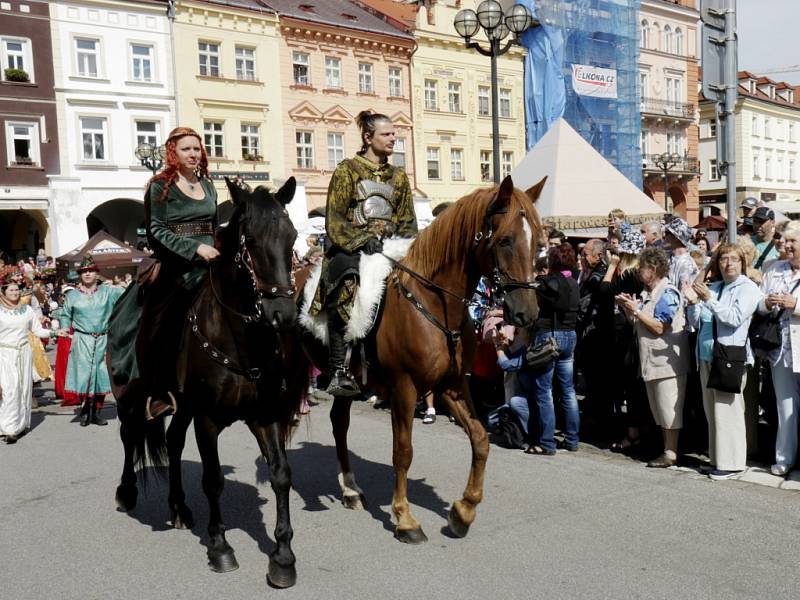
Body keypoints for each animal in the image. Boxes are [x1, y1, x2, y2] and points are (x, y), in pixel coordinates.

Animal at [109, 176, 304, 588]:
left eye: (293, 237)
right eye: (250, 241)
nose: (282, 315)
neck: (241, 340)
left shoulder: (264, 415)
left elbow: (281, 475)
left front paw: (282, 556)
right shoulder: (208, 419)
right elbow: (213, 480)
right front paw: (220, 547)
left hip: (180, 406)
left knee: (172, 441)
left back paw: (179, 507)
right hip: (129, 393)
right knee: (130, 435)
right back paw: (127, 491)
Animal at [300, 175, 544, 544]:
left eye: (539, 243)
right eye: (505, 239)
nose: (526, 314)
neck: (433, 304)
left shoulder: (451, 386)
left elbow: (481, 439)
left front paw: (463, 511)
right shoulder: (404, 388)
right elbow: (403, 452)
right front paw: (405, 519)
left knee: (338, 422)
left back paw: (351, 490)